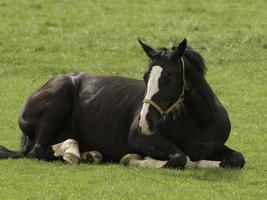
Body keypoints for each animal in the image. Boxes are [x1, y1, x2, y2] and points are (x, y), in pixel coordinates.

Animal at [0, 38, 246, 169]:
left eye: (169, 78)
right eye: (146, 77)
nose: (145, 122)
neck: (198, 122)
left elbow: (237, 159)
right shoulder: (139, 138)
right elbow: (179, 157)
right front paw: (136, 159)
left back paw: (89, 153)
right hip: (58, 98)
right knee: (39, 150)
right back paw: (75, 153)